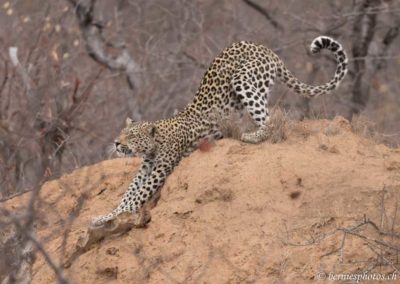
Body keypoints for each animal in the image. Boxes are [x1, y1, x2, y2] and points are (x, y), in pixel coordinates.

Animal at [92, 35, 348, 226]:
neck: (155, 144)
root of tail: (266, 49)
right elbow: (128, 193)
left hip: (243, 79)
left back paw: (250, 135)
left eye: (131, 136)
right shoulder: (146, 168)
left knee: (269, 121)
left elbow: (137, 197)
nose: (116, 143)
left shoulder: (161, 168)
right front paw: (104, 216)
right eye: (122, 133)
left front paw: (111, 217)